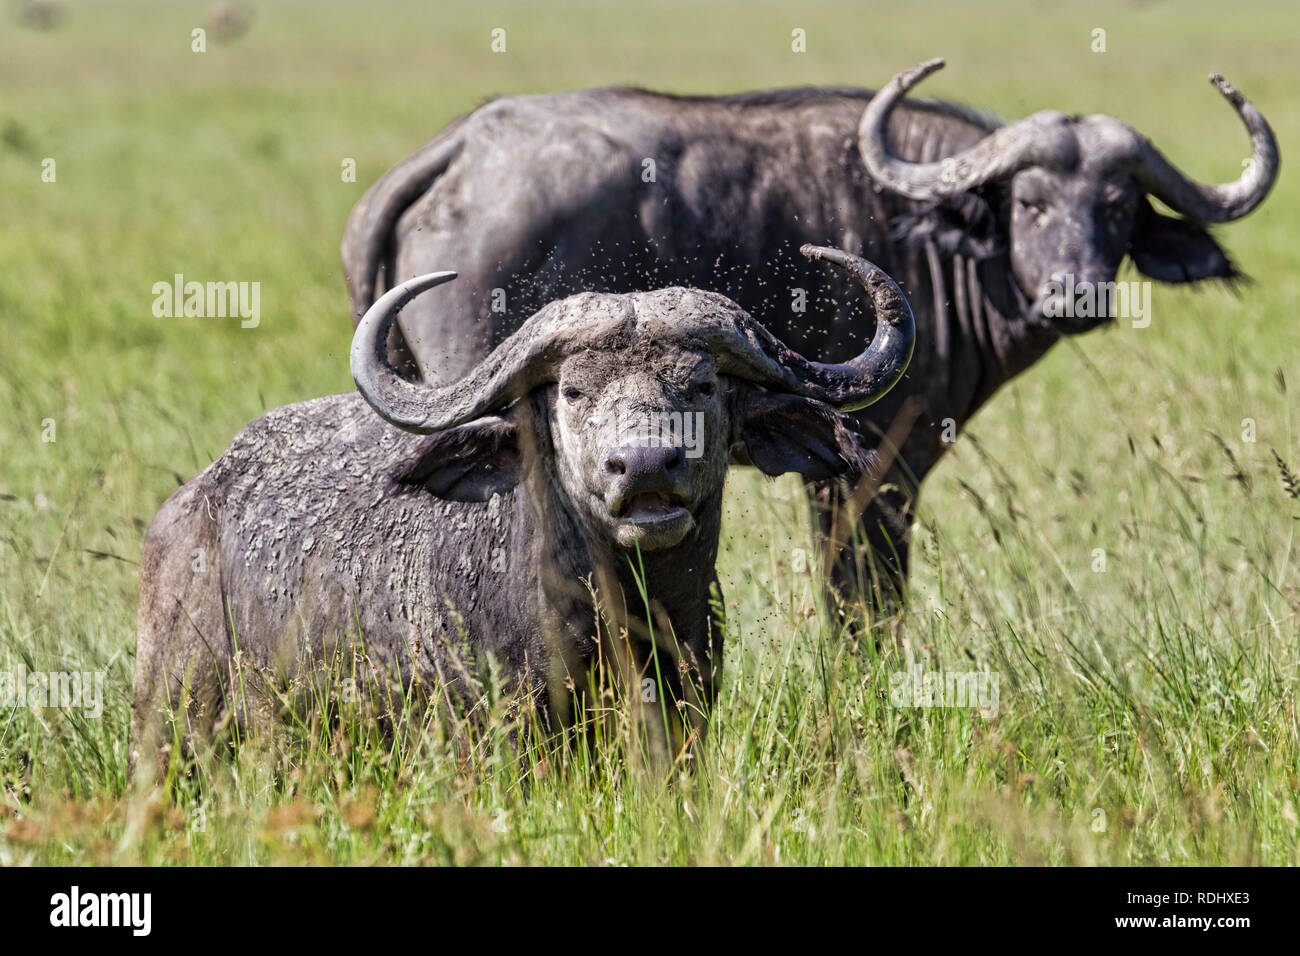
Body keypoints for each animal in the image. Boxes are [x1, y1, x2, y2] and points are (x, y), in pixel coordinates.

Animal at [343, 57, 1279, 613]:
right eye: (1032, 201)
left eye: (1118, 204)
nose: (1075, 292)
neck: (930, 235)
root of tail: (462, 147)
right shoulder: (879, 468)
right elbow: (863, 602)